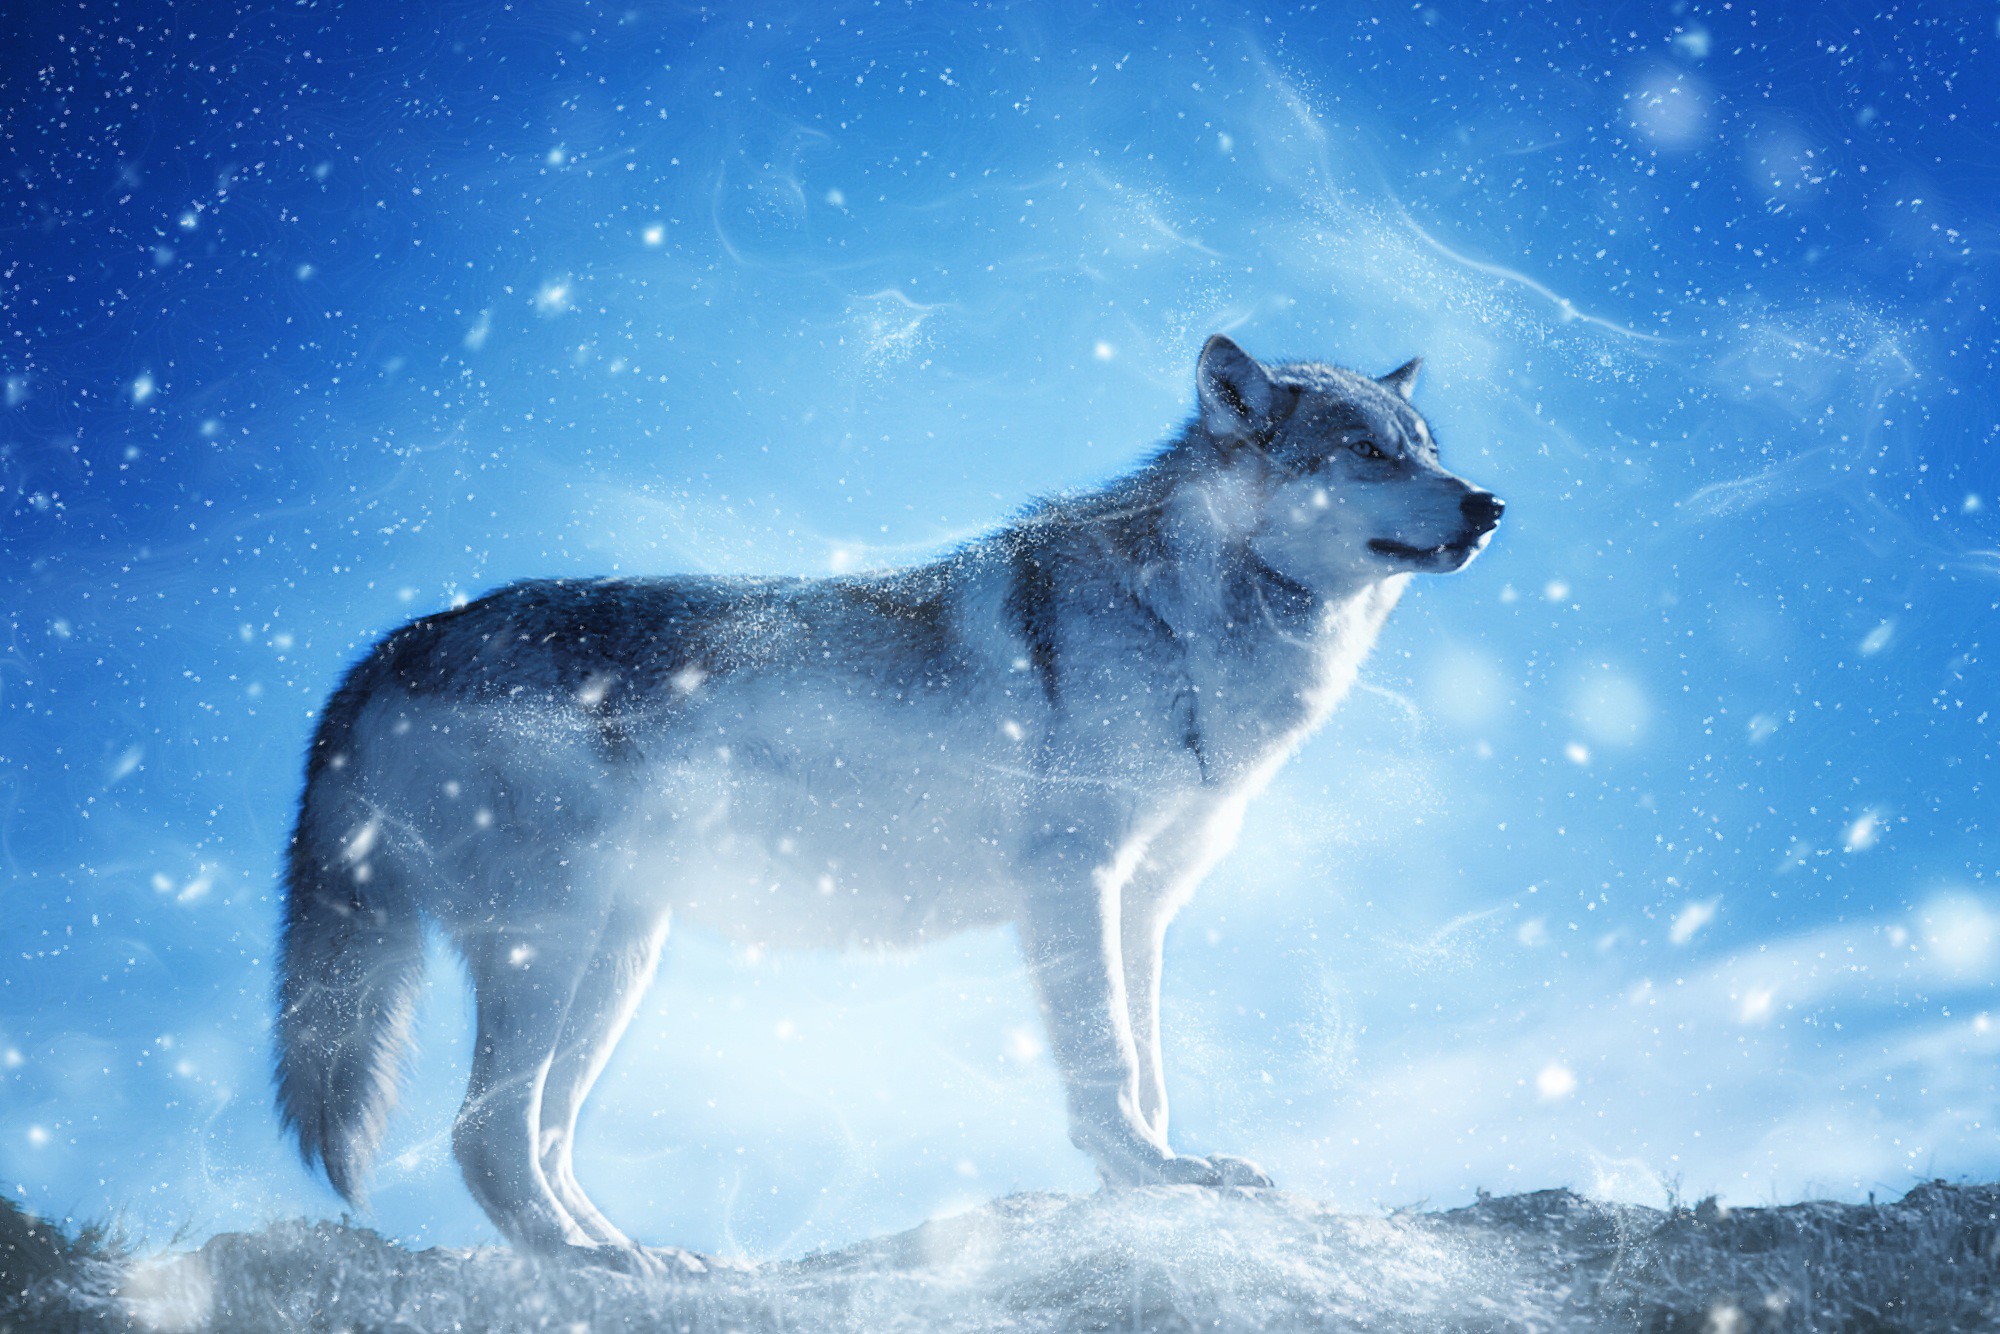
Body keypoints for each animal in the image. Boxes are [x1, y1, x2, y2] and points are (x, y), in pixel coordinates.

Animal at [274, 335, 1503, 1271]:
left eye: (1426, 449)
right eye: (1364, 452)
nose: (1489, 505)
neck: (1183, 618)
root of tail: (385, 648)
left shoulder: (1144, 902)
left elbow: (1149, 1064)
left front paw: (1164, 1172)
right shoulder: (1072, 882)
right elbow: (1106, 1060)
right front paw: (1145, 1174)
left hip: (616, 961)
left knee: (545, 1135)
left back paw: (642, 1257)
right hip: (553, 947)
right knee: (483, 1136)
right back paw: (585, 1264)